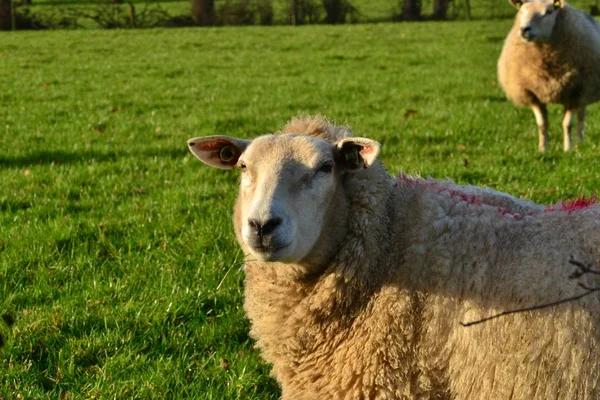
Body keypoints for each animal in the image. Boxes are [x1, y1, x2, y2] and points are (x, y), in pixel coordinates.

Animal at [496, 0, 600, 152]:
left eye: (549, 12)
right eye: (522, 11)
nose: (525, 30)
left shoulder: (576, 92)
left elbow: (567, 124)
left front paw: (568, 149)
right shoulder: (532, 94)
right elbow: (542, 124)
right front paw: (542, 149)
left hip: (588, 87)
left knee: (582, 115)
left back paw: (580, 141)